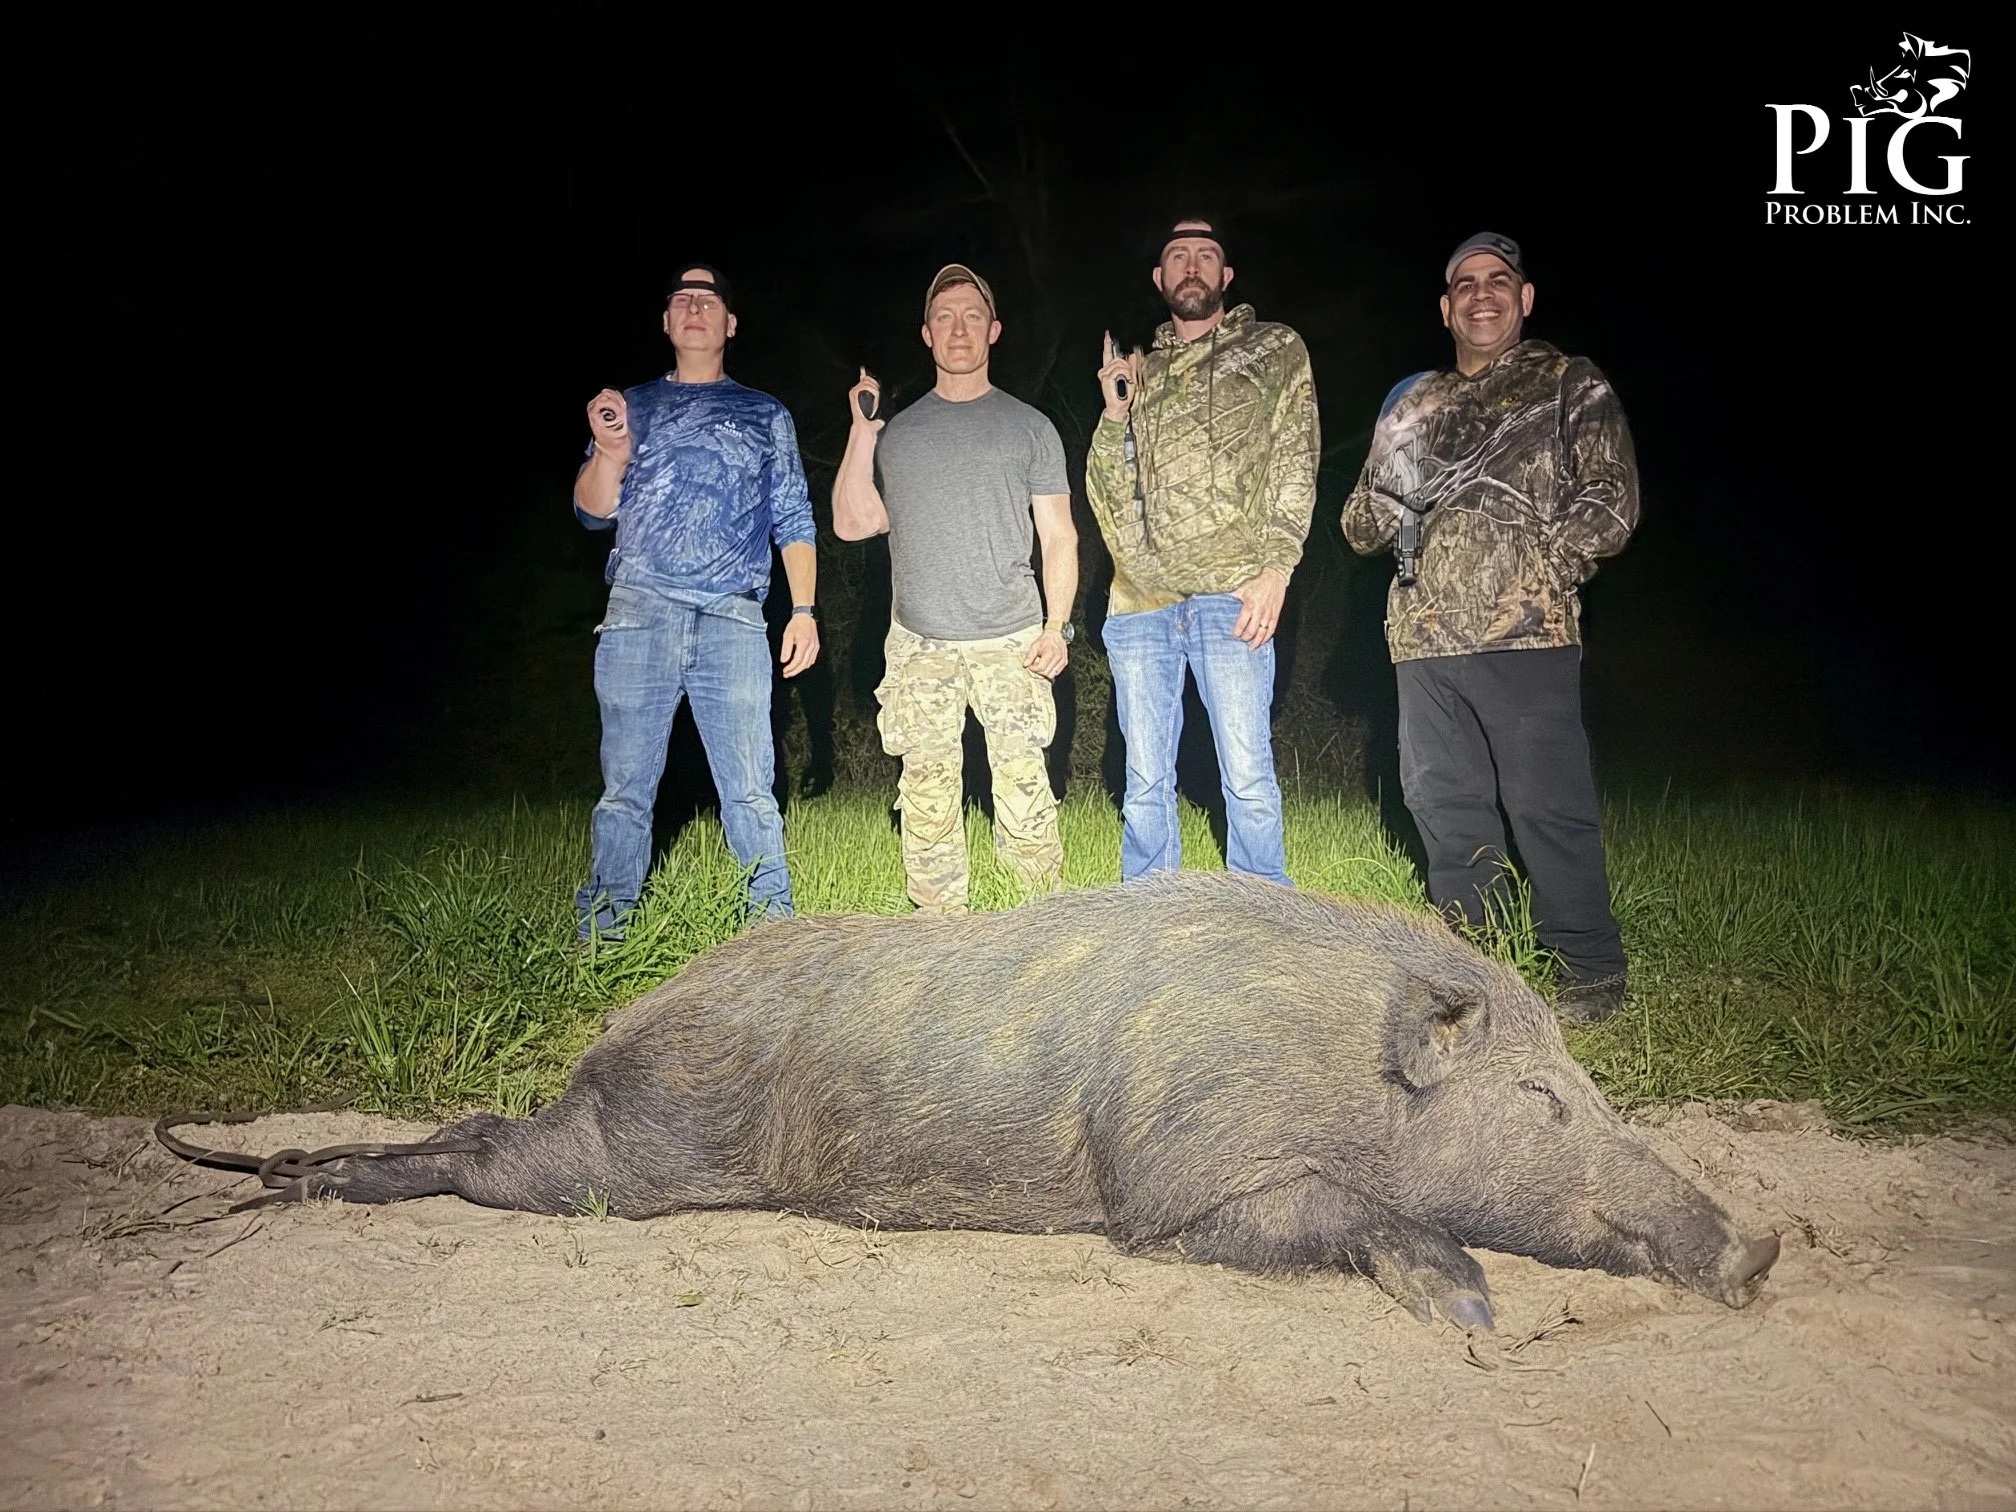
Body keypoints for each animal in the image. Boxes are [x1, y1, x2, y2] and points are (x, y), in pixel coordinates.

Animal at [315, 873, 1779, 1329]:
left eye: (1586, 1082)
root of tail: (622, 1022)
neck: (1343, 1069)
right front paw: (1472, 1314)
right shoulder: (1175, 1189)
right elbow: (1353, 1213)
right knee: (486, 1149)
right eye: (1541, 1097)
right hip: (633, 1150)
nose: (1764, 1246)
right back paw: (288, 1179)